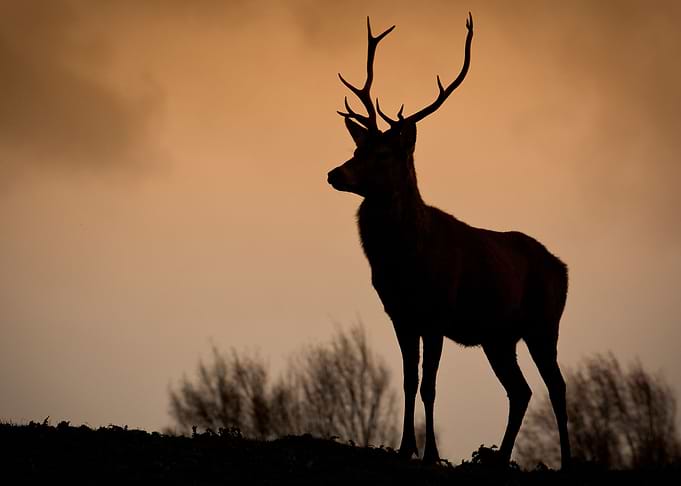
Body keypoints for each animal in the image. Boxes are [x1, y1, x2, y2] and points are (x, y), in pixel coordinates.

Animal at [327, 13, 571, 469]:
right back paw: (498, 458)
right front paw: (405, 449)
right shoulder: (400, 314)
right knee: (521, 391)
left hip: (544, 323)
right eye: (356, 147)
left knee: (557, 387)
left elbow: (429, 386)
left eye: (383, 154)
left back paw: (566, 461)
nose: (335, 173)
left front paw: (430, 456)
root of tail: (563, 268)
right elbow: (408, 382)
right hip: (498, 337)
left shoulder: (437, 312)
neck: (405, 261)